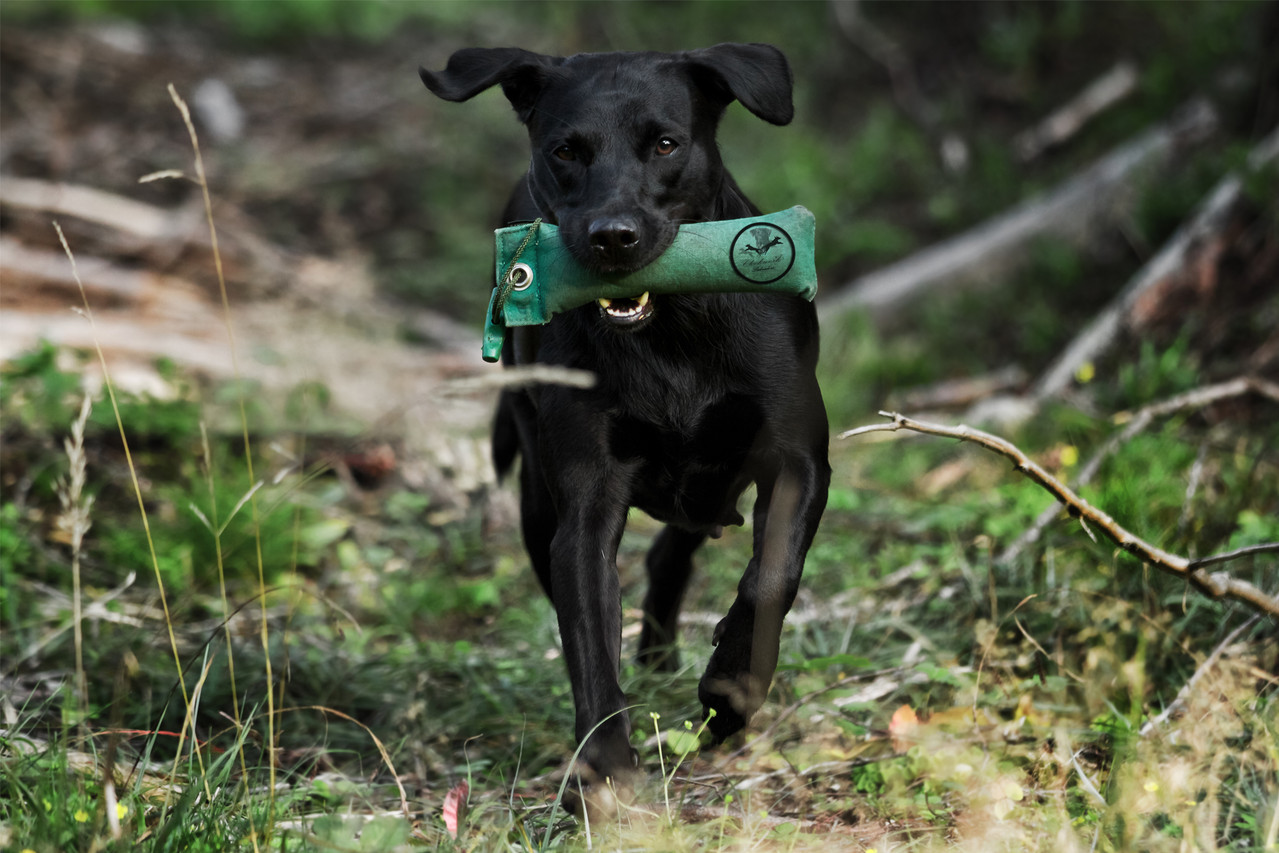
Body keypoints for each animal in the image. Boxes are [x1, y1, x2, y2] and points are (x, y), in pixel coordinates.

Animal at [422, 45, 828, 792]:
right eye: (565, 150)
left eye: (665, 144)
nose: (611, 237)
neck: (668, 331)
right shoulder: (585, 503)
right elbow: (588, 636)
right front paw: (606, 769)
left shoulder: (796, 459)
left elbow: (771, 577)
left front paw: (728, 692)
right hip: (538, 494)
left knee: (680, 547)